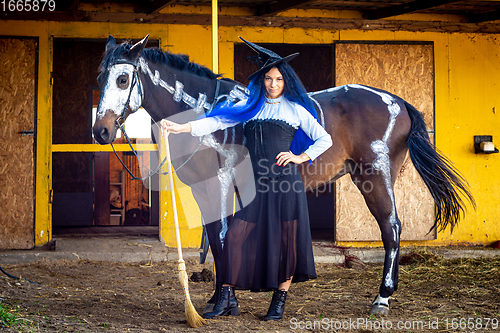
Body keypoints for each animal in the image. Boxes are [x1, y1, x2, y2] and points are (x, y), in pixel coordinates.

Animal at [93, 35, 472, 316]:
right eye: (100, 79)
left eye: (123, 79)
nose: (101, 131)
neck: (207, 111)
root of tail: (398, 102)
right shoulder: (204, 189)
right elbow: (214, 239)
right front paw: (218, 298)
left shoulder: (222, 181)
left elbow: (223, 238)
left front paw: (227, 302)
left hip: (375, 176)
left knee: (391, 227)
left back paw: (382, 298)